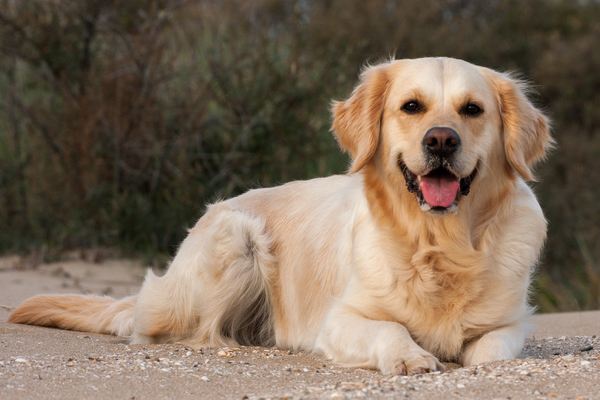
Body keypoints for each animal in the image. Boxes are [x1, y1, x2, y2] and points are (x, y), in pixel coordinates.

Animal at [9, 57, 552, 376]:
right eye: (411, 106)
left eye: (473, 109)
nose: (441, 140)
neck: (438, 243)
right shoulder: (340, 319)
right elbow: (388, 329)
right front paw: (409, 356)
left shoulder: (509, 324)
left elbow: (491, 350)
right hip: (236, 239)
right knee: (174, 330)